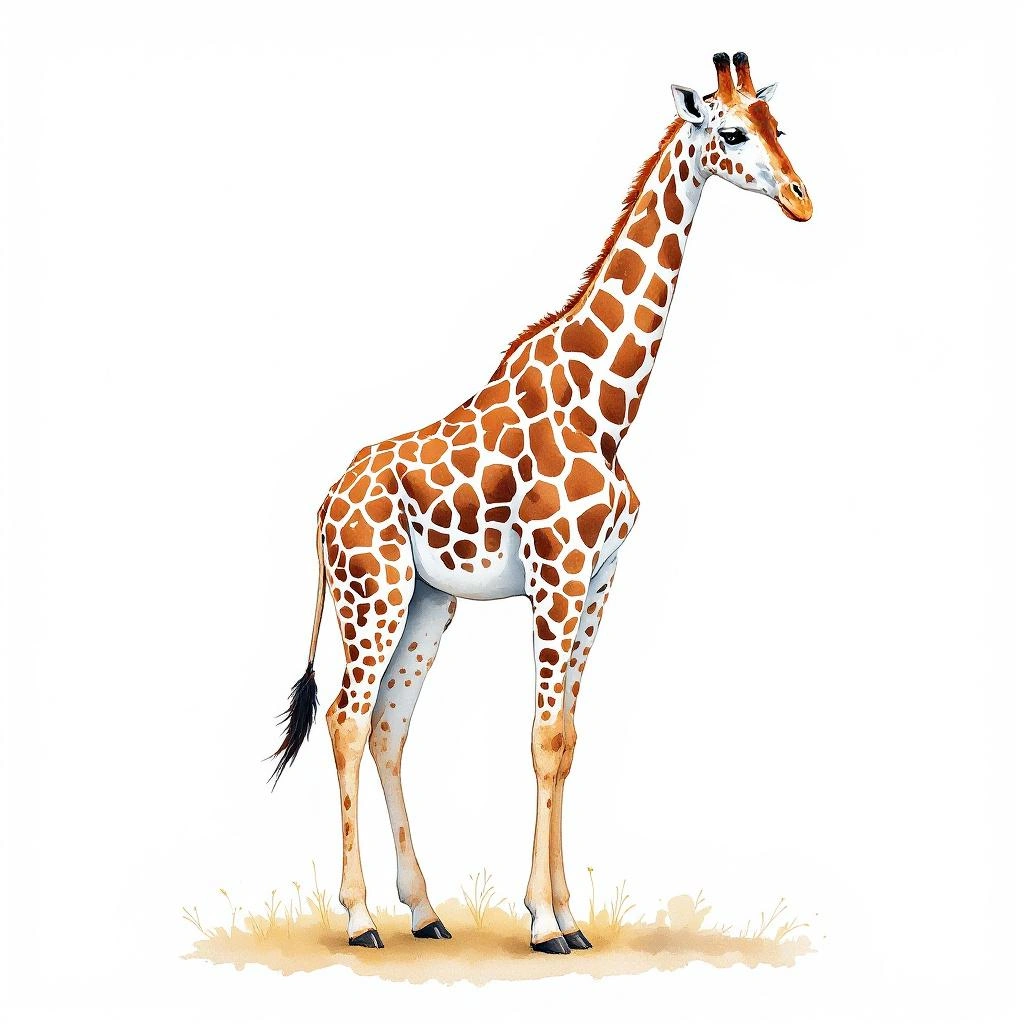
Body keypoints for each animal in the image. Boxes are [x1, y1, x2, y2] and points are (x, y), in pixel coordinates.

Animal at [270, 52, 812, 954]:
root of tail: (324, 504)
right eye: (732, 133)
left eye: (780, 126)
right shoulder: (557, 576)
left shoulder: (597, 581)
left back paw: (424, 911)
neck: (608, 406)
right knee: (347, 719)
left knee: (388, 724)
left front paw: (566, 916)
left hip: (427, 602)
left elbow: (567, 740)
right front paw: (544, 923)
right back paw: (359, 918)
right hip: (371, 592)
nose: (803, 199)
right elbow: (543, 735)